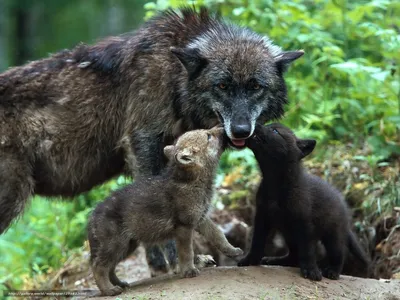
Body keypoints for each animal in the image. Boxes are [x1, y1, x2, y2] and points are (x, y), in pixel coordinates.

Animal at [0, 6, 304, 274]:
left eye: (255, 86)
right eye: (222, 86)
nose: (241, 130)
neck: (174, 77)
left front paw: (159, 263)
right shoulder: (143, 143)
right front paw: (177, 261)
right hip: (13, 199)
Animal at [88, 126, 242, 296]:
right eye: (208, 136)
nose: (223, 128)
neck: (193, 183)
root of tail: (92, 216)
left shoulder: (201, 219)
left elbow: (218, 235)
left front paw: (232, 250)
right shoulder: (184, 227)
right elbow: (186, 252)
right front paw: (189, 271)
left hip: (127, 245)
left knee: (110, 267)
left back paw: (120, 284)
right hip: (116, 245)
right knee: (98, 267)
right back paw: (109, 290)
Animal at [236, 123, 370, 280]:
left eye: (275, 130)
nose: (256, 124)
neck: (275, 184)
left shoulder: (304, 223)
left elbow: (308, 250)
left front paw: (311, 270)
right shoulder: (262, 217)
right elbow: (257, 242)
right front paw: (250, 260)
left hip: (333, 234)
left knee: (339, 253)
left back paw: (333, 271)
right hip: (289, 234)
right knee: (293, 256)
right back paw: (274, 260)